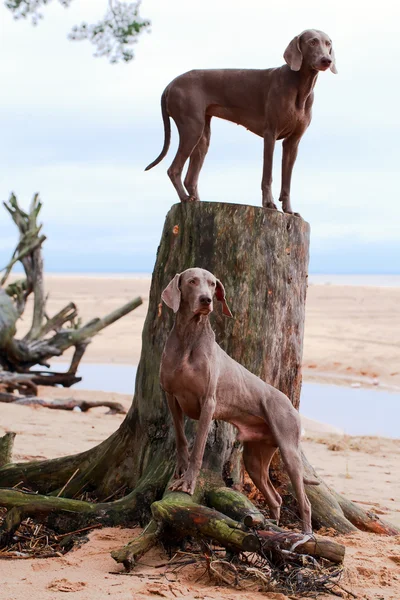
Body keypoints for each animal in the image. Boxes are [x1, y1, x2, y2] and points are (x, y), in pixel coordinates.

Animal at [147, 28, 338, 216]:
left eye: (328, 43)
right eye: (312, 42)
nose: (326, 60)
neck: (300, 87)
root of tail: (169, 85)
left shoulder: (293, 142)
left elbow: (287, 181)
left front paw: (289, 210)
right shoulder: (270, 134)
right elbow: (267, 174)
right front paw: (268, 203)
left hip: (202, 136)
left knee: (190, 178)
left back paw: (195, 201)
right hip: (192, 127)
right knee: (173, 169)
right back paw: (185, 198)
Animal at [159, 268, 318, 536]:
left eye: (213, 284)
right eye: (192, 281)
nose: (206, 300)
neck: (189, 337)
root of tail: (290, 404)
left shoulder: (208, 403)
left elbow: (198, 448)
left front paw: (188, 484)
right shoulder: (171, 396)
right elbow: (182, 440)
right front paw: (179, 471)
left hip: (288, 448)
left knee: (304, 501)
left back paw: (305, 535)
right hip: (255, 458)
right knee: (275, 496)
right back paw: (271, 526)